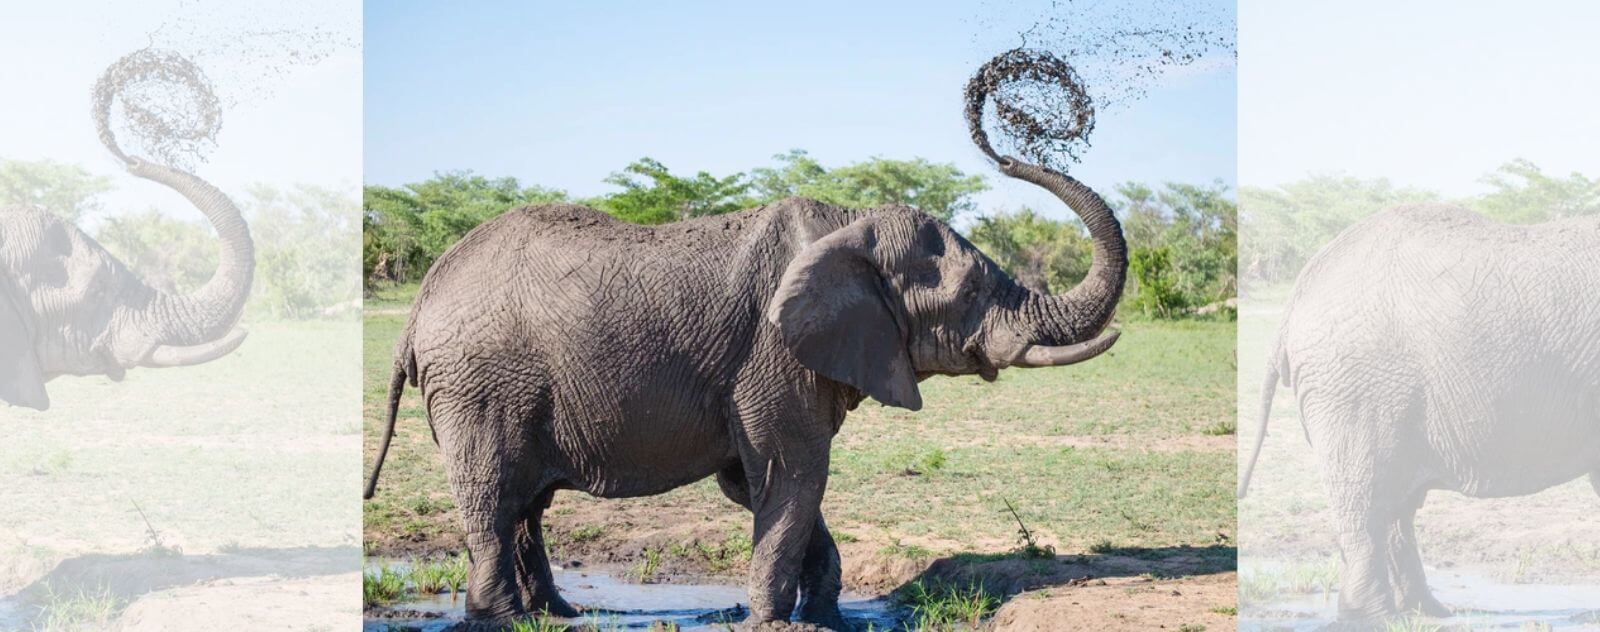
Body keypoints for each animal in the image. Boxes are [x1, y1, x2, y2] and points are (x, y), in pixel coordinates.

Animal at [360, 144, 1126, 627]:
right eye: (968, 293)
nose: (1000, 148)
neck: (848, 228)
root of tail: (422, 300)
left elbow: (765, 484)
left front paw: (824, 617)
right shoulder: (771, 355)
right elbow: (794, 473)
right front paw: (774, 621)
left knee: (526, 504)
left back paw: (557, 614)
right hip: (479, 385)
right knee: (493, 496)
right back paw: (501, 620)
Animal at [1235, 204, 1600, 620]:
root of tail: (1294, 303)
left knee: (1396, 504)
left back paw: (1426, 612)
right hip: (1356, 390)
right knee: (1370, 499)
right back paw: (1377, 619)